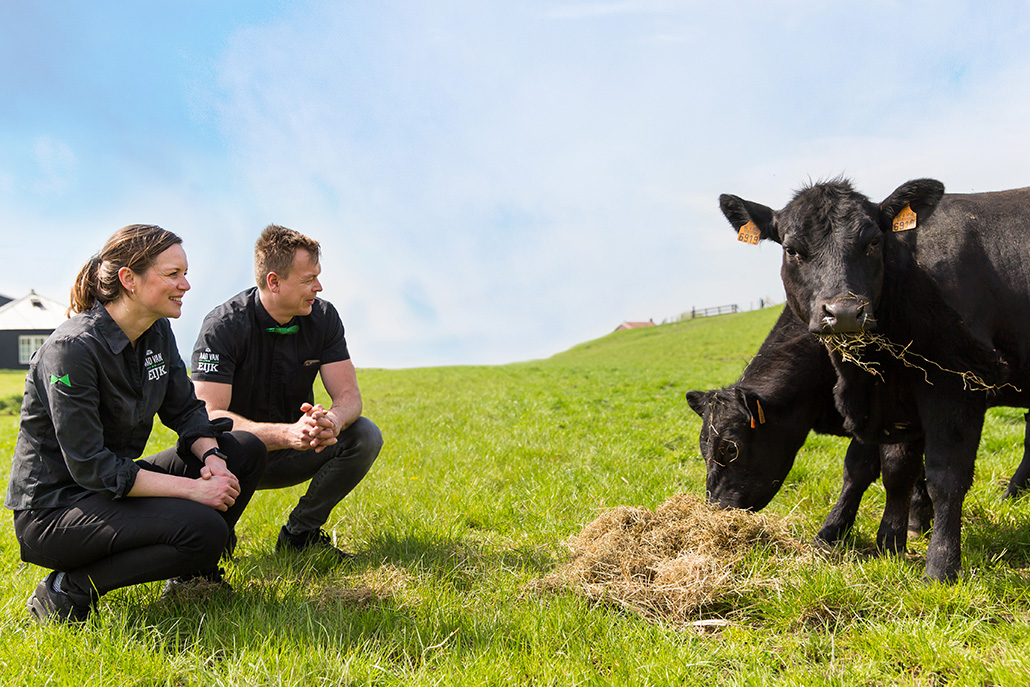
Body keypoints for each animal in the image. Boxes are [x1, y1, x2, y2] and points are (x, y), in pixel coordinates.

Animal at [721, 177, 1030, 580]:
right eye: (792, 250)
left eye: (872, 243)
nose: (844, 312)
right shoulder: (897, 401)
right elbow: (892, 470)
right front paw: (888, 542)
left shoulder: (956, 384)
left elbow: (944, 475)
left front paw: (940, 566)